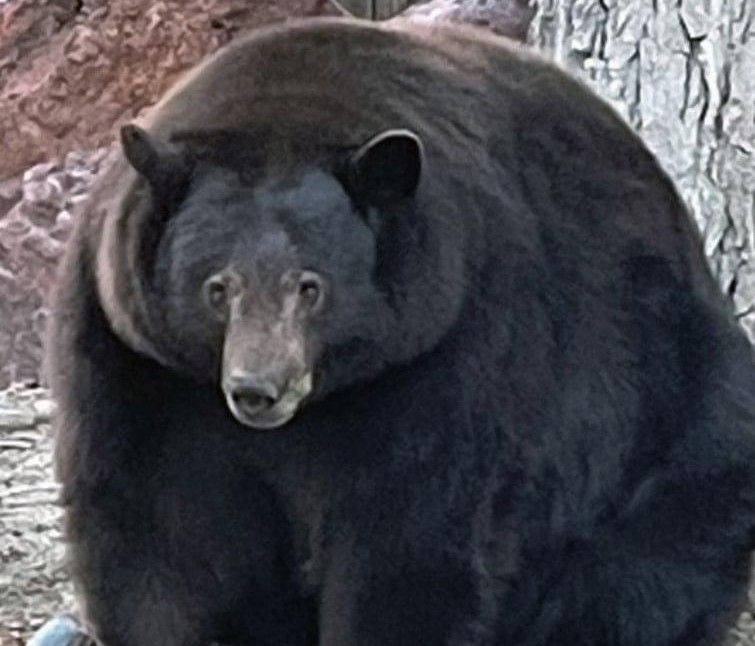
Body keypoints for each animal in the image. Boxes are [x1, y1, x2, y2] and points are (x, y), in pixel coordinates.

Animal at [48, 16, 755, 646]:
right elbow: (155, 532)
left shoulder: (452, 345)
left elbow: (412, 539)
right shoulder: (138, 363)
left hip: (667, 415)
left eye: (311, 286)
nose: (258, 389)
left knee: (644, 571)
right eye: (217, 287)